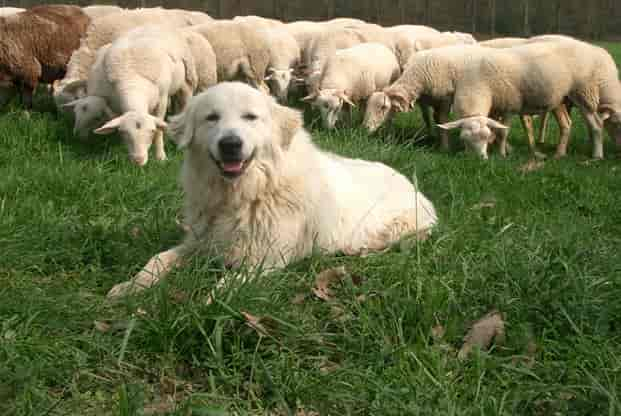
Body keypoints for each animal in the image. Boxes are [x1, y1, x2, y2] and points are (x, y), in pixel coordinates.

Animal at [106, 81, 438, 300]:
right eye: (211, 117)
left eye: (250, 117)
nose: (230, 144)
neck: (245, 194)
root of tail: (409, 180)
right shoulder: (201, 242)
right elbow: (158, 259)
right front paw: (130, 287)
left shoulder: (264, 260)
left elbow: (222, 288)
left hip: (397, 230)